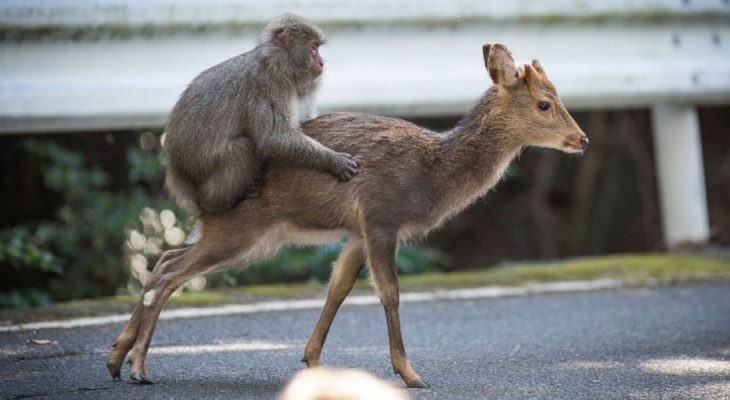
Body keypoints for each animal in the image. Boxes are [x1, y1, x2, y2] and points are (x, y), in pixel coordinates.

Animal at [163, 13, 358, 213]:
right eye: (313, 48)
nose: (321, 62)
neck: (279, 64)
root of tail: (177, 173)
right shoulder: (270, 85)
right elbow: (272, 138)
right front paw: (332, 160)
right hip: (200, 170)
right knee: (241, 147)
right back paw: (217, 203)